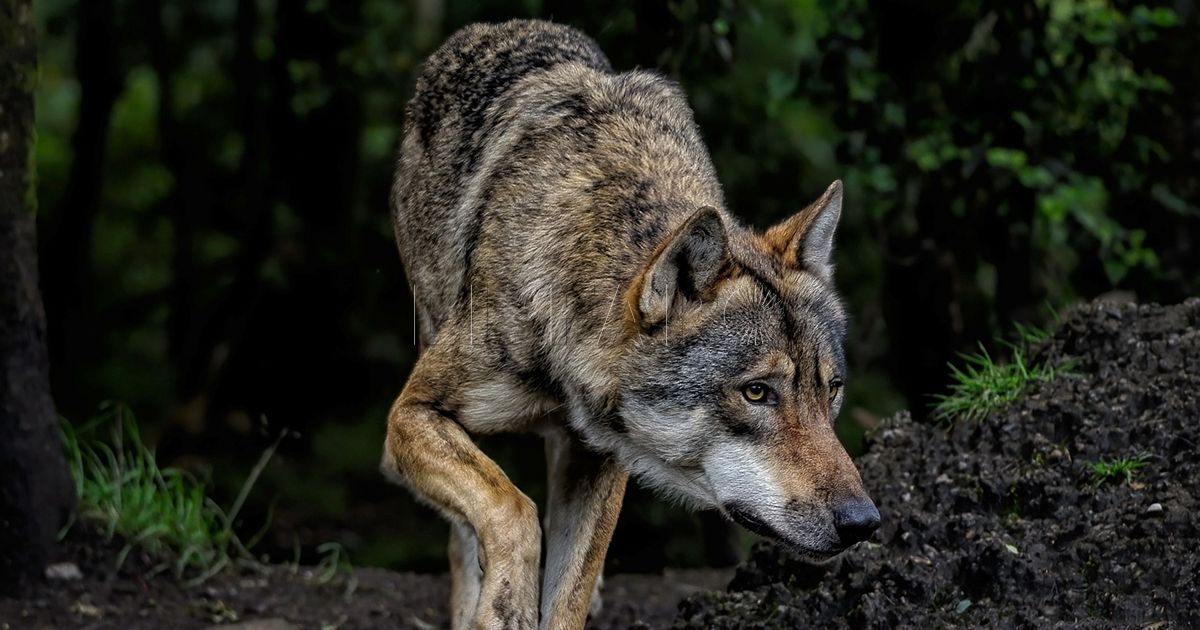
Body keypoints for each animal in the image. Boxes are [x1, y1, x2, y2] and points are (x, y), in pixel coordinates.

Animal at [381, 19, 879, 630]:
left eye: (831, 391)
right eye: (757, 393)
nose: (863, 522)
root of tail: (495, 27)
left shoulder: (601, 458)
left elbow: (568, 592)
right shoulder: (410, 415)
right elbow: (511, 506)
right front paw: (505, 600)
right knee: (467, 532)